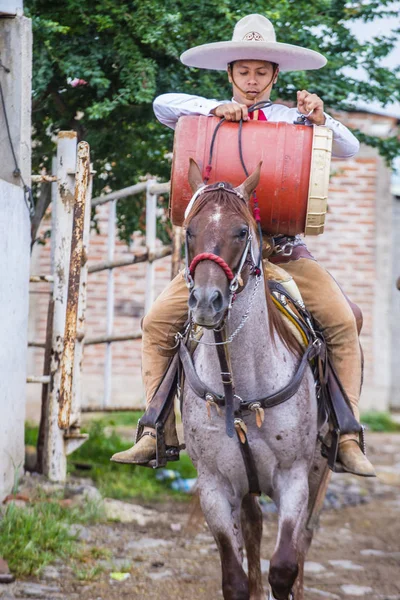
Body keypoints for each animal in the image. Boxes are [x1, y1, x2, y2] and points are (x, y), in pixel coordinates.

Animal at [181, 157, 328, 596]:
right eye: (190, 229)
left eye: (241, 231)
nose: (206, 302)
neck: (242, 386)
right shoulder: (214, 485)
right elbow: (235, 579)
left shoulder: (294, 479)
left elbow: (284, 566)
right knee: (253, 529)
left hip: (319, 470)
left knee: (303, 541)